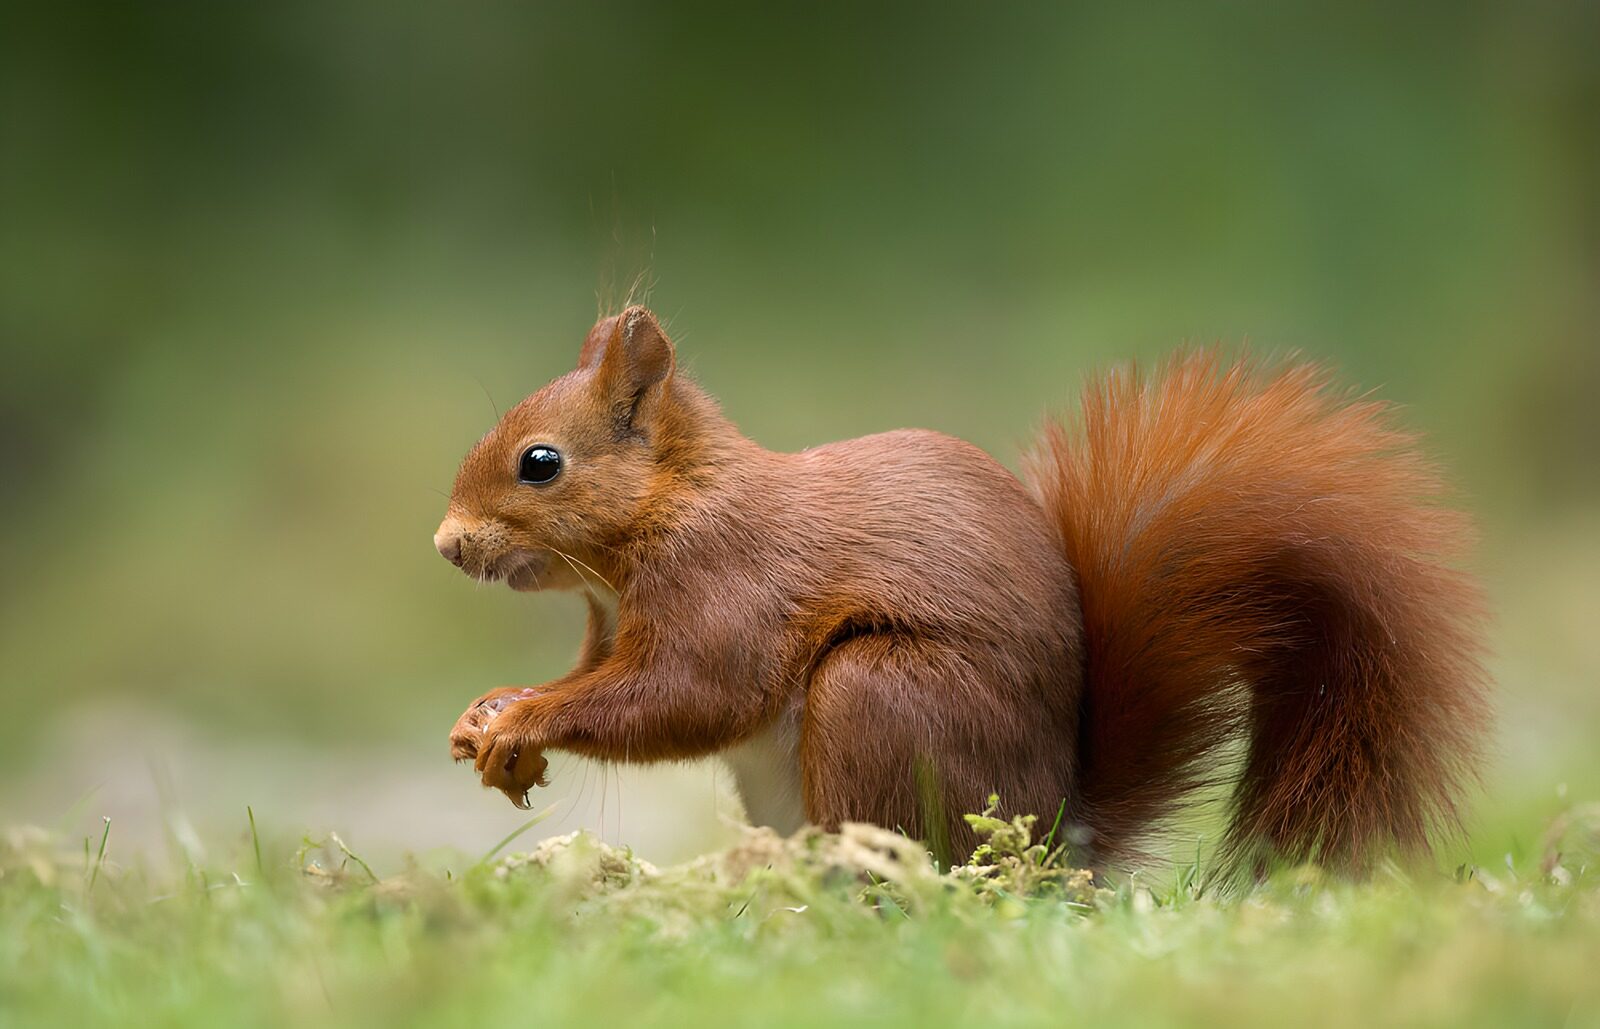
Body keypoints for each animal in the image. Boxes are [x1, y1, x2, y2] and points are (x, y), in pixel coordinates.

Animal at [436, 306, 1489, 873]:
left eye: (540, 463)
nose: (445, 544)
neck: (668, 509)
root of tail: (1058, 834)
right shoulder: (606, 627)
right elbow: (600, 678)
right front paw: (489, 710)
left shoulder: (727, 584)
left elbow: (687, 696)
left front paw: (523, 717)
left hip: (880, 696)